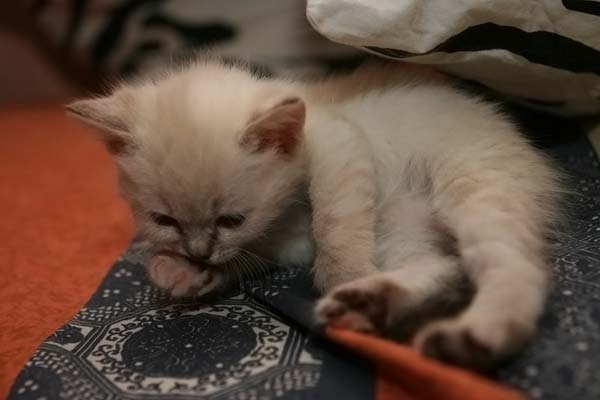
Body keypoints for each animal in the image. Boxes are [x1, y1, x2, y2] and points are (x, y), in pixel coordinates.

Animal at [67, 59, 563, 369]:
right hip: (404, 230)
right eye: (165, 221)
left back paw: (471, 338)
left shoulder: (338, 144)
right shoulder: (277, 246)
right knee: (445, 265)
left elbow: (334, 221)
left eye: (231, 219)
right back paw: (370, 301)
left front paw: (343, 273)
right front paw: (185, 273)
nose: (198, 252)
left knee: (516, 268)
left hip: (474, 188)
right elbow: (247, 261)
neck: (285, 217)